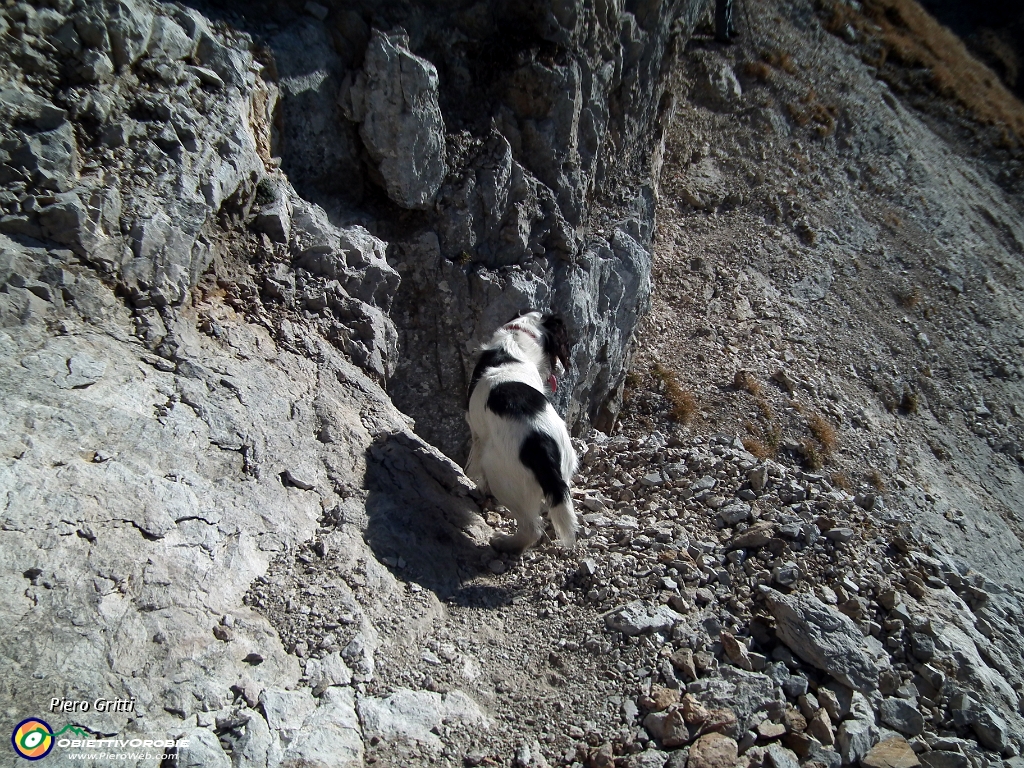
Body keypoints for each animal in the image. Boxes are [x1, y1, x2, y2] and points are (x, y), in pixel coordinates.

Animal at [464, 311, 577, 552]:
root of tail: (541, 445)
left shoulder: (477, 432)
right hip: (565, 468)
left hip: (503, 478)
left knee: (531, 528)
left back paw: (504, 542)